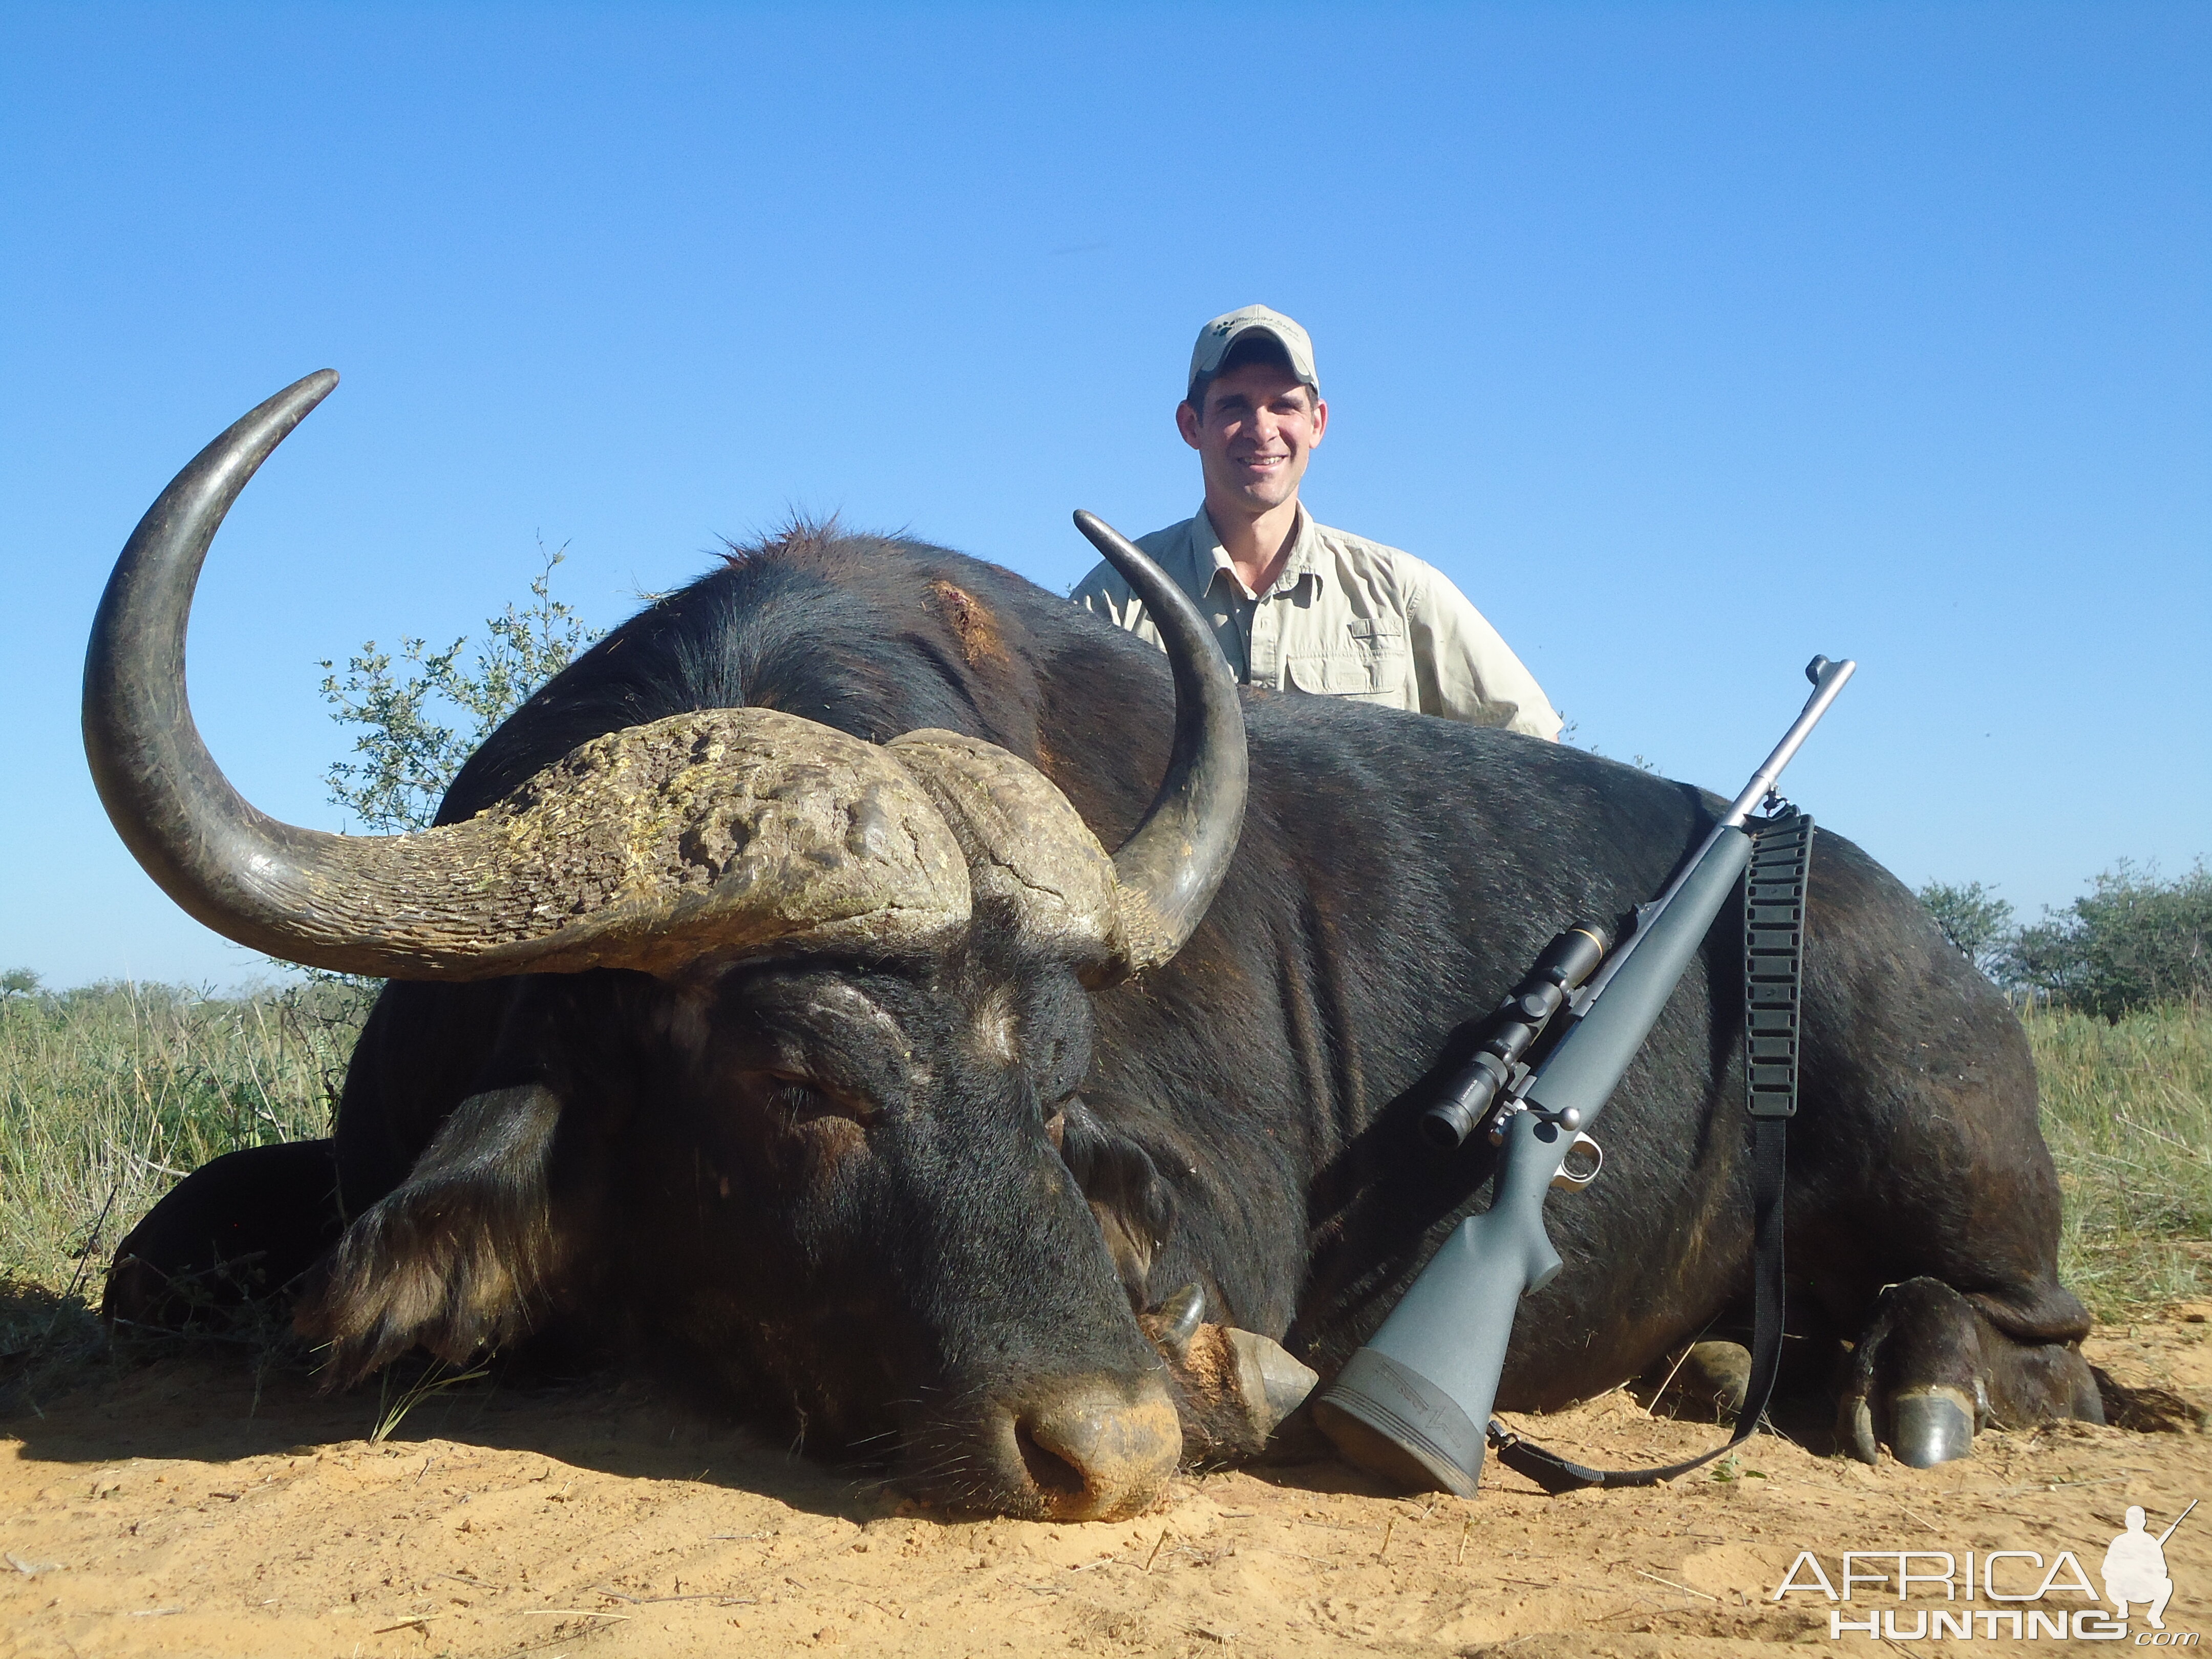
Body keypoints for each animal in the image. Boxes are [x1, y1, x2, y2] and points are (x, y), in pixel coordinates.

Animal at [95, 374, 2097, 1522]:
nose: (1107, 1455)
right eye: (800, 1084)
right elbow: (152, 1256)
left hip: (1946, 1145)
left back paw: (1910, 1386)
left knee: (2040, 1329)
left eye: (1055, 1092)